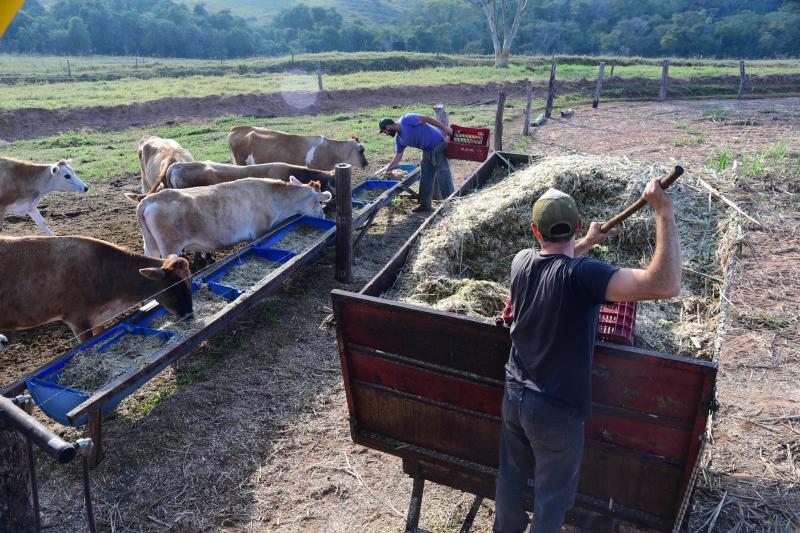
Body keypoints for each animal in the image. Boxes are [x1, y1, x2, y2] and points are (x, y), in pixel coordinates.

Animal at [133, 175, 332, 258]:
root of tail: (150, 199)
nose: (323, 216)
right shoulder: (259, 231)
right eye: (319, 202)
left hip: (150, 245)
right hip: (170, 246)